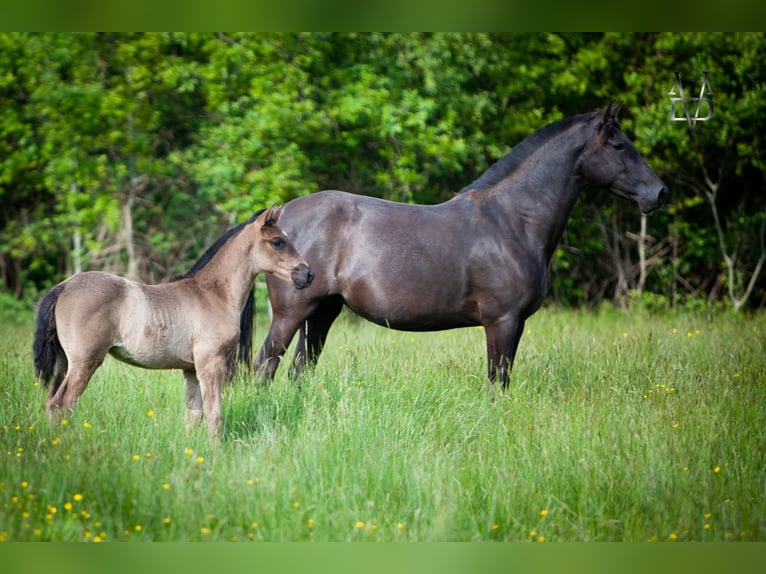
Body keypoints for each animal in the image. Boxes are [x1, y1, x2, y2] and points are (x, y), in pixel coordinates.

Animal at [32, 207, 316, 440]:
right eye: (277, 241)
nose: (308, 274)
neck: (214, 294)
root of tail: (63, 287)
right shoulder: (211, 363)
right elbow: (214, 415)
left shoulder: (190, 369)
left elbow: (193, 415)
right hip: (84, 361)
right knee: (63, 404)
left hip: (64, 361)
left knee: (50, 403)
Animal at [244, 106, 664, 390]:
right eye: (618, 144)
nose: (659, 193)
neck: (511, 222)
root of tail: (278, 219)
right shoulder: (501, 320)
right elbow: (497, 381)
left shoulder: (518, 323)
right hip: (291, 313)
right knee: (264, 367)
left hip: (323, 312)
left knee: (299, 370)